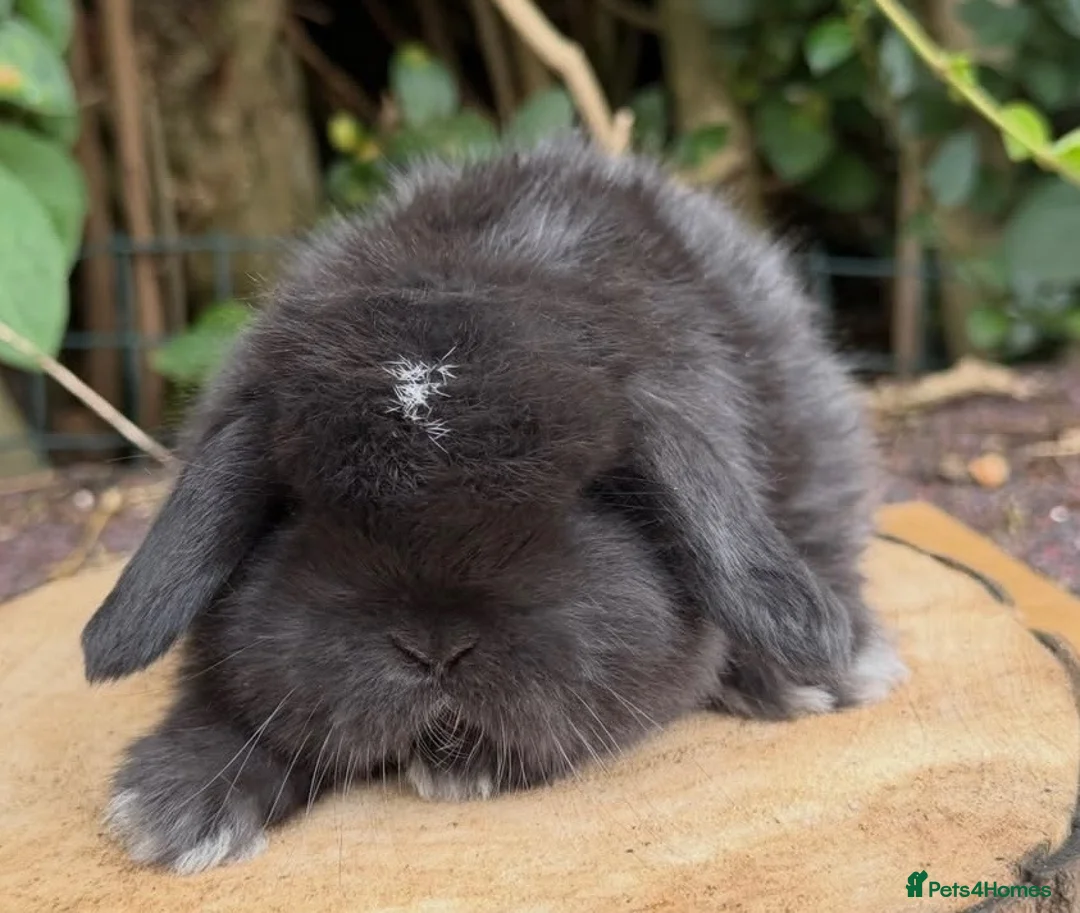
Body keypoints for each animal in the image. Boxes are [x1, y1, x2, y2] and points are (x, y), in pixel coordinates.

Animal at [81, 133, 908, 875]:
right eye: (297, 509)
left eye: (584, 495)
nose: (435, 647)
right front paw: (179, 804)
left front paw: (461, 767)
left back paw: (815, 672)